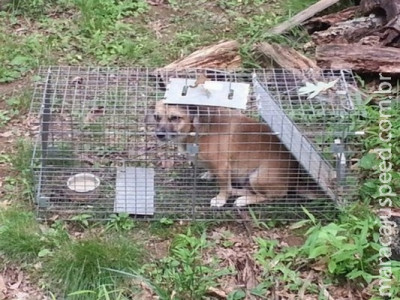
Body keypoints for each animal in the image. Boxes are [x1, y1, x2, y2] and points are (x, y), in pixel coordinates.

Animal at [153, 100, 296, 206]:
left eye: (175, 117)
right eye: (156, 117)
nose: (159, 135)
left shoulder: (222, 167)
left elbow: (223, 186)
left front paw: (220, 199)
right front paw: (210, 174)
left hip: (257, 177)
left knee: (267, 196)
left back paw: (243, 199)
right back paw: (237, 191)